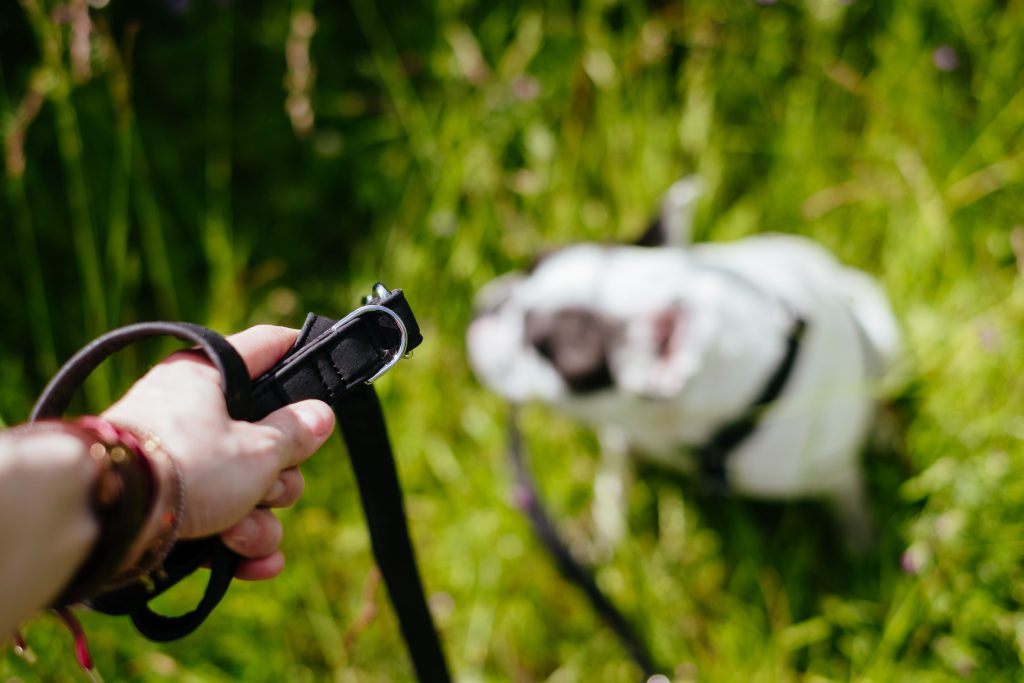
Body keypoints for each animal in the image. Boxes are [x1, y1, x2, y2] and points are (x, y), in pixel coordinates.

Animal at [468, 178, 901, 548]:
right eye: (529, 265)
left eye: (542, 348)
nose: (487, 306)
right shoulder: (621, 427)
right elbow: (612, 480)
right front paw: (608, 538)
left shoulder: (832, 470)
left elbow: (850, 501)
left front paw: (863, 546)